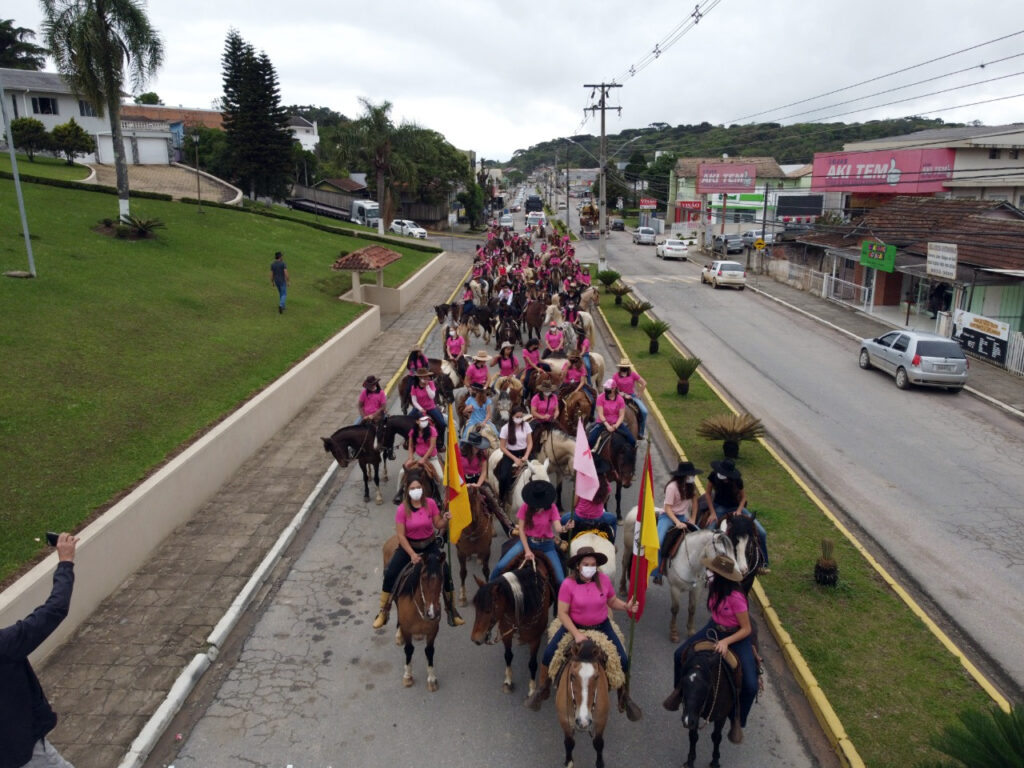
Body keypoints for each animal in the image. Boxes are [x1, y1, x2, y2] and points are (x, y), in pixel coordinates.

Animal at [380, 544, 444, 696]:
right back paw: (398, 635)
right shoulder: (407, 629)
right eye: (423, 577)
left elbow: (429, 651)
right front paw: (408, 676)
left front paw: (431, 679)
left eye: (442, 577)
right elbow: (409, 649)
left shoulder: (433, 630)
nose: (433, 612)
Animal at [468, 561, 552, 700]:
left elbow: (532, 664)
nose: (475, 639)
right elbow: (508, 655)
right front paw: (508, 681)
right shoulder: (505, 633)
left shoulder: (535, 640)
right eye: (475, 607)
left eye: (488, 610)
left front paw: (532, 690)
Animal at [561, 638, 606, 768]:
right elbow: (569, 742)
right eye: (572, 676)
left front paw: (600, 763)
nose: (583, 721)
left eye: (596, 677)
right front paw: (569, 761)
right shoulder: (564, 720)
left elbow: (598, 743)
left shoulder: (601, 720)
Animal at [618, 512, 749, 643]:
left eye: (734, 551)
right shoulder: (675, 588)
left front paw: (690, 630)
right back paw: (623, 588)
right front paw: (674, 633)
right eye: (722, 553)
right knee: (624, 563)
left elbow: (692, 608)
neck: (691, 560)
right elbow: (675, 609)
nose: (739, 575)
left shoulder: (697, 589)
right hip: (629, 548)